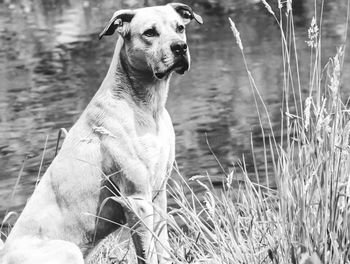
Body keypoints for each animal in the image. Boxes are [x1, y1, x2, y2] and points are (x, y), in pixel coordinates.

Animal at [0, 2, 202, 264]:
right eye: (149, 33)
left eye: (180, 28)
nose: (179, 47)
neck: (147, 107)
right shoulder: (136, 200)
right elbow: (147, 252)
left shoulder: (158, 194)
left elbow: (163, 247)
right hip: (69, 250)